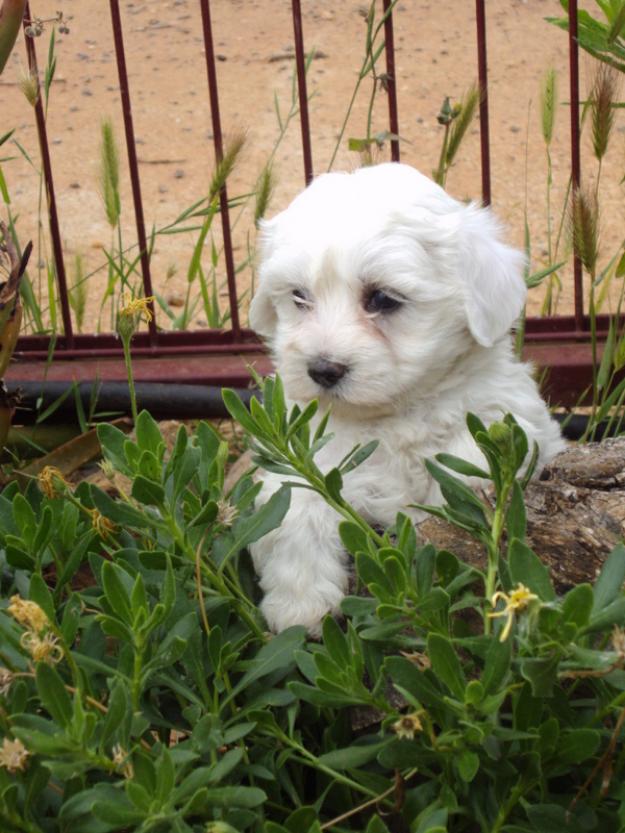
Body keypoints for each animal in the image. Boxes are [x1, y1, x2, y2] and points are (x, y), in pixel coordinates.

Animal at [249, 161, 564, 632]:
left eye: (383, 298)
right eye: (299, 296)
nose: (322, 369)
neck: (392, 415)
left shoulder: (513, 418)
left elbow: (469, 457)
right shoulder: (305, 456)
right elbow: (294, 505)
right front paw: (299, 605)